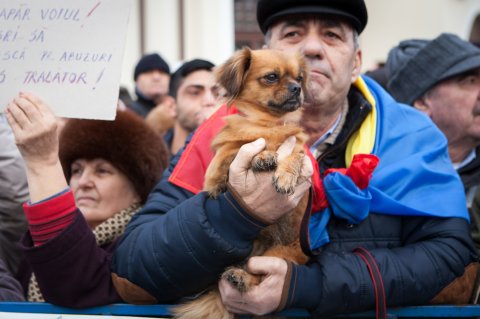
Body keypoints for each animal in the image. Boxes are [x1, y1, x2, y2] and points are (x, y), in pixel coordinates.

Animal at [172, 48, 312, 319]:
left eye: (299, 78)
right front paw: (262, 157)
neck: (266, 124)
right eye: (271, 77)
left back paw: (241, 278)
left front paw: (284, 174)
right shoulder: (225, 155)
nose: (296, 88)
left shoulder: (298, 150)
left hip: (277, 256)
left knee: (257, 276)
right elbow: (230, 156)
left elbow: (293, 156)